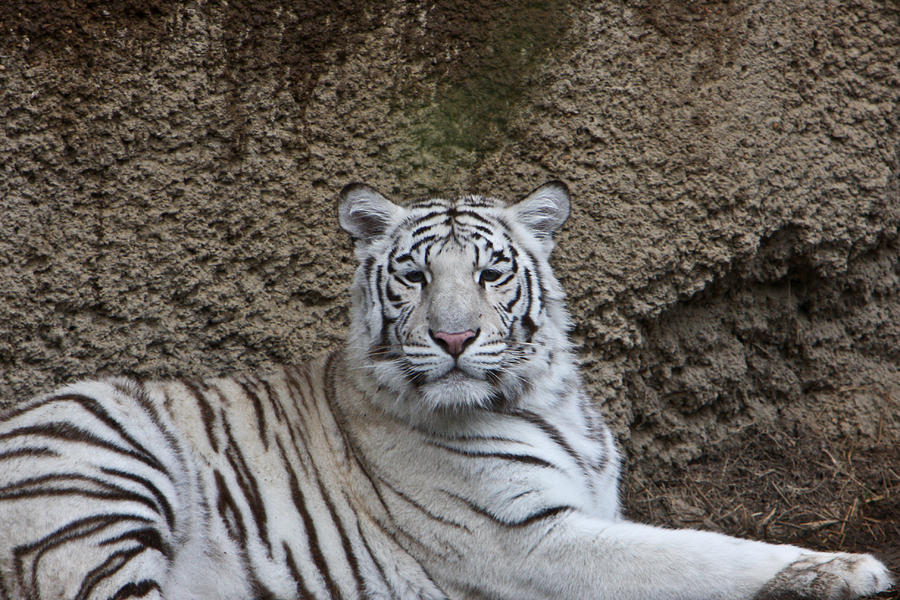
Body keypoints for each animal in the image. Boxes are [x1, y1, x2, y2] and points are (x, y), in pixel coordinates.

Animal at [0, 180, 892, 596]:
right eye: (414, 275)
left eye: (490, 273)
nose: (455, 338)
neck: (549, 397)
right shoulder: (529, 539)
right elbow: (696, 554)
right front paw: (849, 568)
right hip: (104, 470)